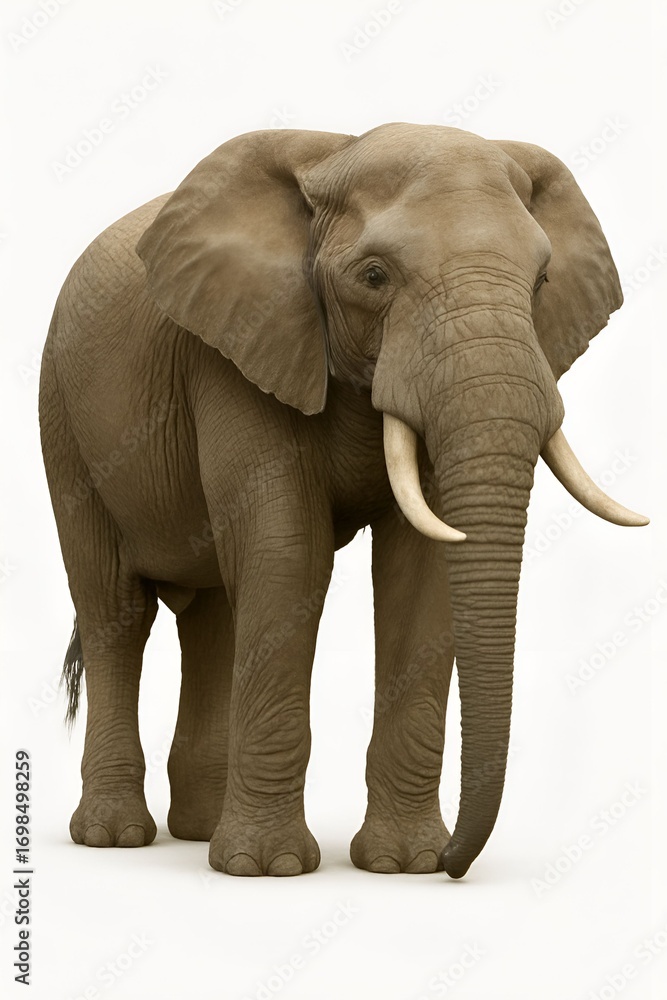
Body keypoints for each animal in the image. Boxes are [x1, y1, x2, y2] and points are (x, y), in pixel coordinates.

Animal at [39, 122, 648, 879]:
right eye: (374, 277)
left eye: (540, 281)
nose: (456, 863)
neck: (335, 152)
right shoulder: (236, 348)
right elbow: (287, 553)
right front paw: (268, 870)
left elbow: (419, 570)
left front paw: (404, 865)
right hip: (63, 418)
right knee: (115, 610)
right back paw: (115, 836)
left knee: (213, 616)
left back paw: (199, 834)